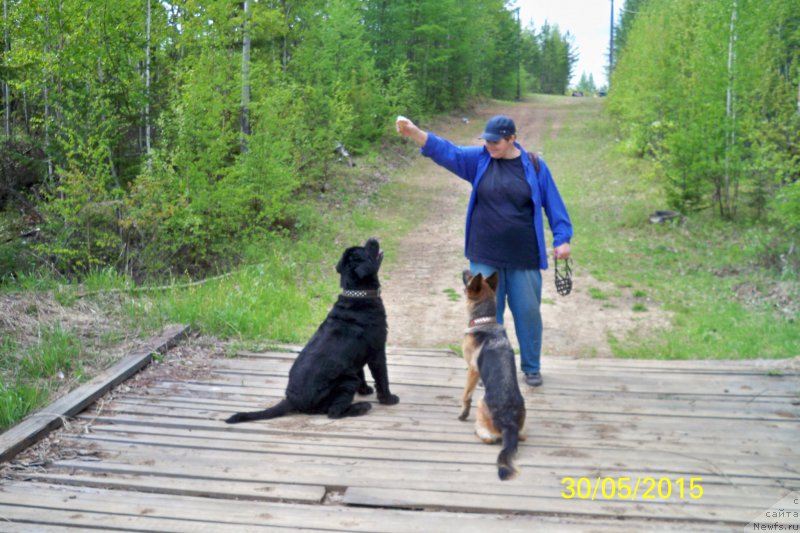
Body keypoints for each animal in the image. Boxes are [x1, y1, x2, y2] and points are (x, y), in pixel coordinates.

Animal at [223, 238, 398, 424]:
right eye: (365, 250)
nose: (372, 239)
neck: (358, 294)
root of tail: (291, 400)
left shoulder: (357, 356)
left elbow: (362, 372)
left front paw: (365, 390)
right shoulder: (377, 351)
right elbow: (382, 377)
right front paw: (388, 399)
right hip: (347, 382)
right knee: (334, 412)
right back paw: (361, 407)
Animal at [460, 268, 528, 480]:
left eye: (469, 277)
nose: (465, 269)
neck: (485, 321)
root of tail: (509, 424)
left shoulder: (472, 370)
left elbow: (465, 395)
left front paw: (462, 414)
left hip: (482, 402)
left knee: (489, 438)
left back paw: (478, 432)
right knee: (522, 436)